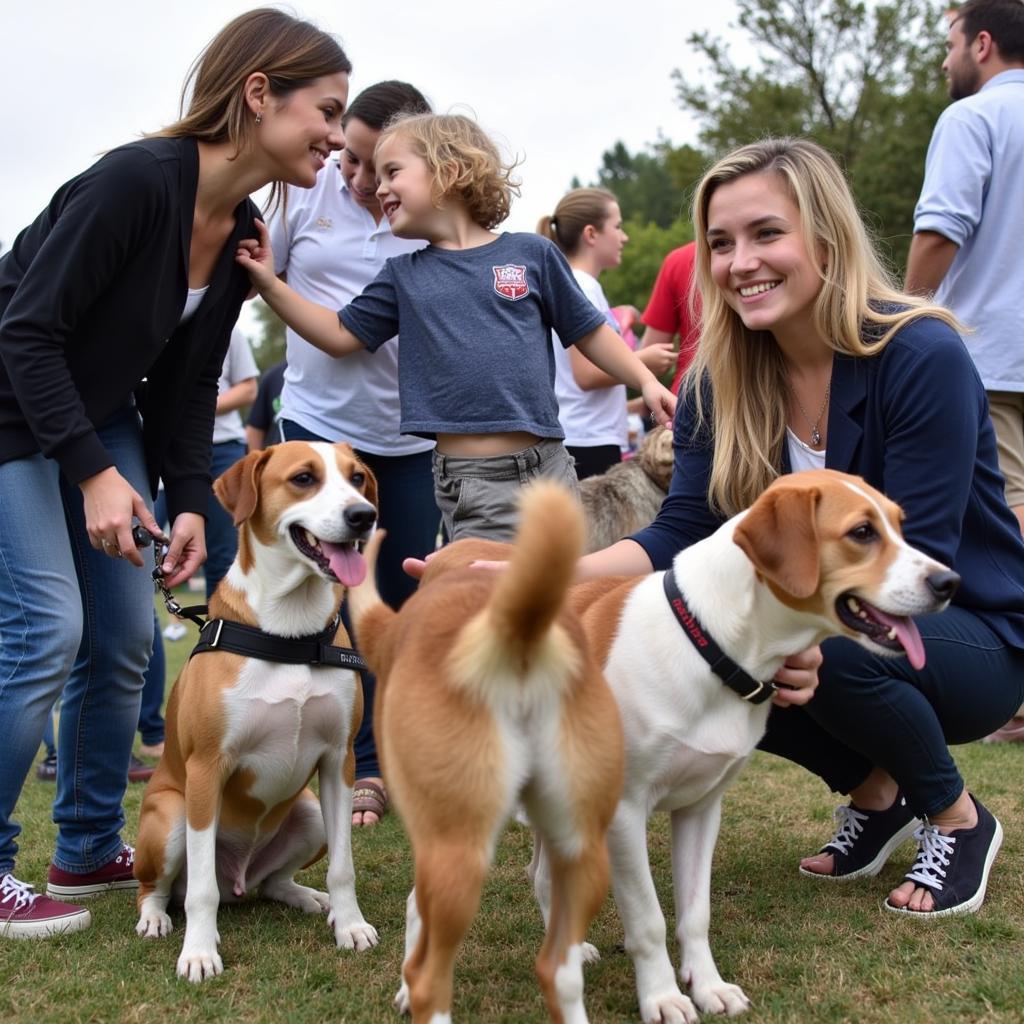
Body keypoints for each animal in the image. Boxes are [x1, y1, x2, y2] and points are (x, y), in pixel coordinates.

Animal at [132, 442, 380, 983]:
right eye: (304, 478)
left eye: (357, 479)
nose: (364, 516)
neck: (291, 633)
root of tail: (238, 880)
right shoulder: (206, 769)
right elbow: (200, 891)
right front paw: (199, 952)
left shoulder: (339, 761)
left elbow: (344, 867)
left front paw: (350, 925)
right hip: (171, 817)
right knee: (163, 888)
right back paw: (156, 918)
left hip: (308, 812)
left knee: (272, 882)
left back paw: (308, 897)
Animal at [536, 468, 958, 1019]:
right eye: (863, 532)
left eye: (900, 525)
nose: (949, 582)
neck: (711, 645)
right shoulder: (623, 814)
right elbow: (648, 921)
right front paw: (662, 997)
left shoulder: (700, 807)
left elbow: (696, 914)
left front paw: (708, 986)